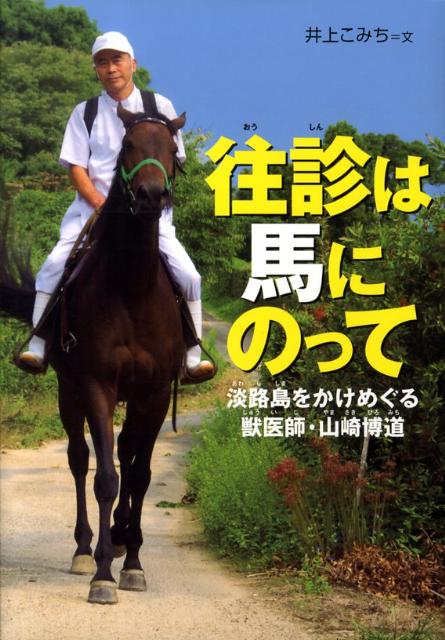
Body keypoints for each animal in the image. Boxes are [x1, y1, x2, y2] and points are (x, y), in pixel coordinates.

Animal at [0, 104, 186, 604]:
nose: (150, 196)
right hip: (70, 392)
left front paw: (133, 561)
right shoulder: (97, 385)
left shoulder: (153, 394)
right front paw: (103, 573)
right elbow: (106, 478)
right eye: (128, 145)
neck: (132, 287)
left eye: (171, 149)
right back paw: (86, 549)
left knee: (126, 452)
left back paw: (120, 538)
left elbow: (139, 476)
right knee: (80, 459)